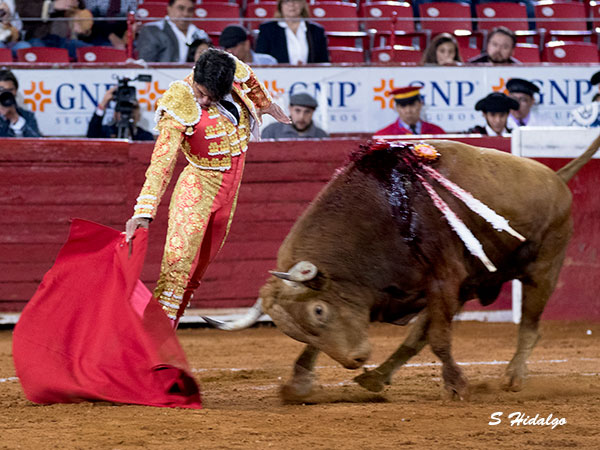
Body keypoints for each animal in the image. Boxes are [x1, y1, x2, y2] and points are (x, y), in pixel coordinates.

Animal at [205, 136, 600, 401]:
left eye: (318, 310)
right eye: (297, 330)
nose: (355, 360)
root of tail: (557, 177)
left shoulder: (444, 281)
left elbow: (439, 339)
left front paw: (457, 387)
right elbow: (416, 336)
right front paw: (299, 383)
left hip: (543, 270)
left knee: (529, 326)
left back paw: (514, 377)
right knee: (417, 338)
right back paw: (376, 377)